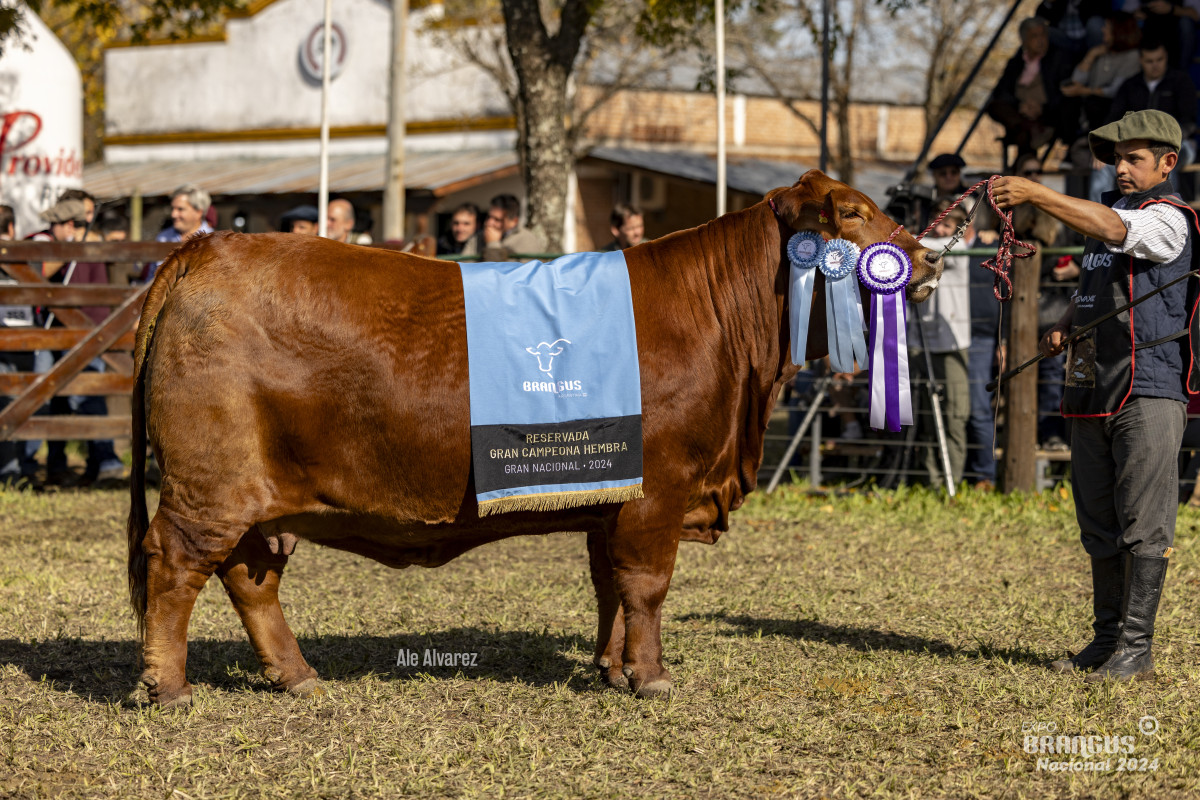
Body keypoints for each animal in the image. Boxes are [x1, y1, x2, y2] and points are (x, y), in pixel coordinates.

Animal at [126, 170, 940, 705]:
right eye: (852, 212)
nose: (929, 255)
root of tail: (207, 248)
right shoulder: (659, 489)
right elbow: (647, 585)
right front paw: (651, 676)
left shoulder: (613, 492)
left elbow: (610, 585)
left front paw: (610, 668)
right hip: (209, 484)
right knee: (175, 565)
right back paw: (167, 688)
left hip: (253, 494)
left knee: (249, 576)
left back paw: (297, 677)